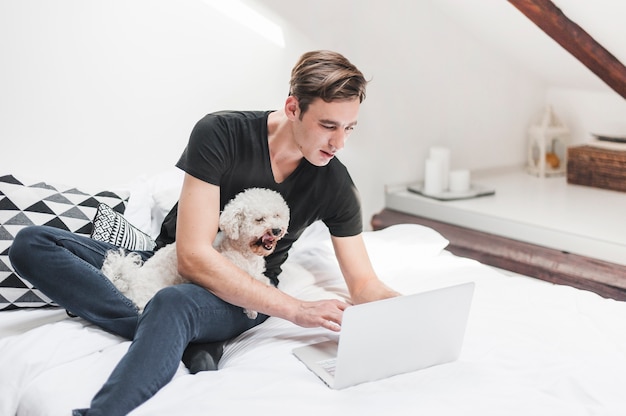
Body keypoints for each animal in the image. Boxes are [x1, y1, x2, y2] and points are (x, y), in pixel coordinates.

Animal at [101, 188, 288, 318]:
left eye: (277, 215)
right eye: (259, 220)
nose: (277, 230)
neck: (244, 251)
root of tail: (131, 282)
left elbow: (262, 281)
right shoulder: (229, 274)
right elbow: (246, 291)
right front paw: (251, 311)